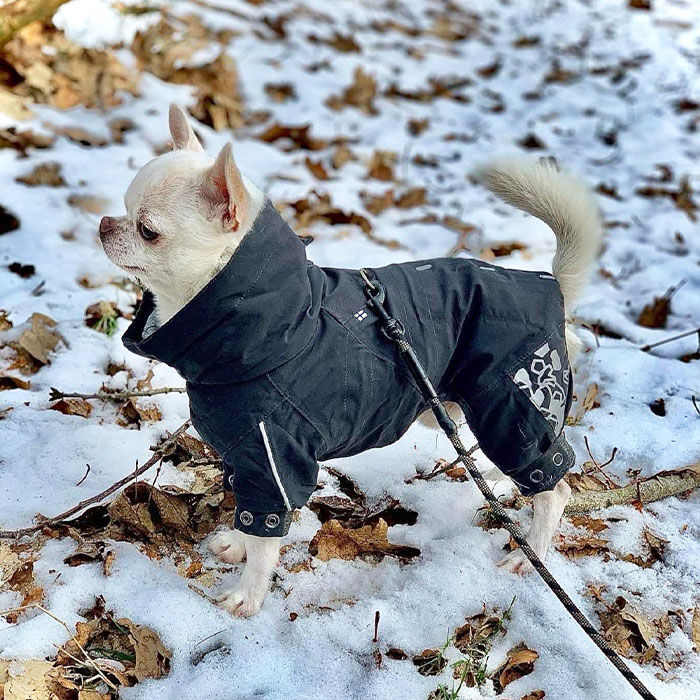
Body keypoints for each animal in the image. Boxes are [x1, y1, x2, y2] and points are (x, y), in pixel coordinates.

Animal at [99, 105, 600, 617]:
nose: (103, 224)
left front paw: (248, 594)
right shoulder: (247, 459)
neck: (266, 322)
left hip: (509, 405)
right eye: (123, 207)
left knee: (554, 487)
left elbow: (265, 537)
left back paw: (530, 552)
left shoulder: (274, 463)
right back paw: (500, 486)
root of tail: (553, 285)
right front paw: (237, 545)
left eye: (148, 231)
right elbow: (247, 516)